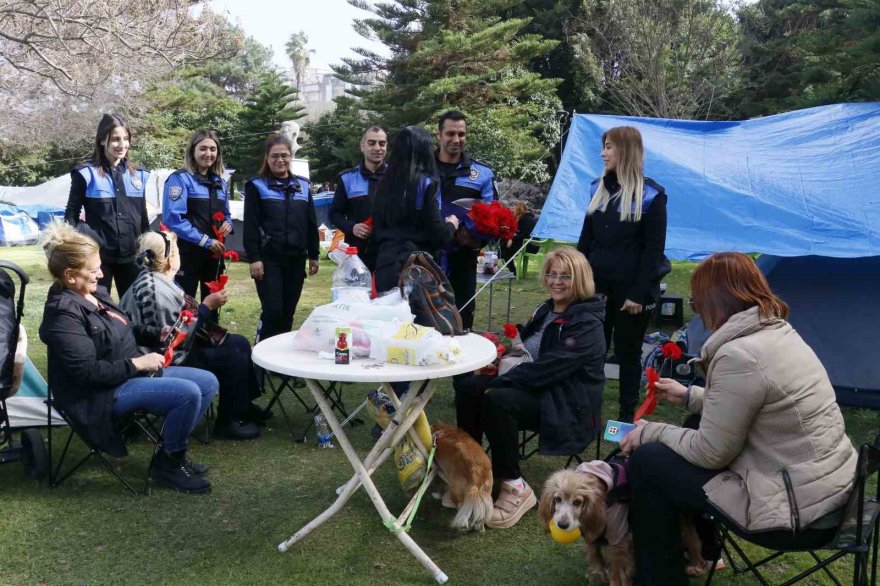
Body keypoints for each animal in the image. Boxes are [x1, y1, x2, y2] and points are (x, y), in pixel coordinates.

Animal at [536, 460, 708, 584]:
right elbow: (594, 554)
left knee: (693, 540)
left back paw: (697, 566)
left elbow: (616, 569)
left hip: (680, 522)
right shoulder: (591, 532)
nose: (562, 525)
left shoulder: (618, 540)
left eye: (578, 502)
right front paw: (598, 574)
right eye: (557, 499)